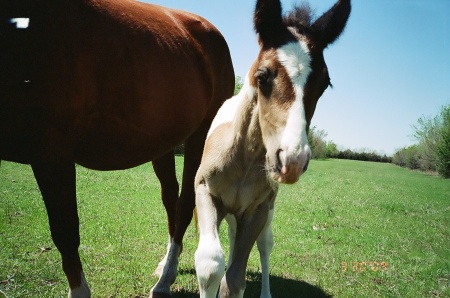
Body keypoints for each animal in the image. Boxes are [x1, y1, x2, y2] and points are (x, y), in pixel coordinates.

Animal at [0, 1, 232, 296]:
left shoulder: (52, 154)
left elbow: (65, 232)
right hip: (163, 145)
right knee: (170, 200)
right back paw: (166, 264)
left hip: (199, 138)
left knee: (183, 206)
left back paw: (164, 281)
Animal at [194, 0, 352, 296]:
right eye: (262, 76)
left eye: (324, 84)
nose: (292, 161)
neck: (242, 162)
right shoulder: (205, 191)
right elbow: (210, 264)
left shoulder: (258, 209)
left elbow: (236, 279)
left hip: (263, 214)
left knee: (265, 245)